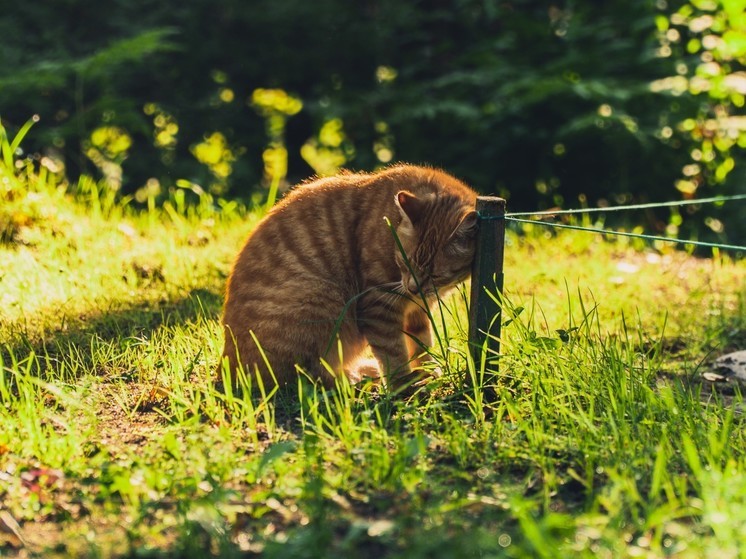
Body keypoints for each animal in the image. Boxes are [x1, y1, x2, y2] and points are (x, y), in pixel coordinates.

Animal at [219, 164, 476, 394]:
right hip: (322, 298)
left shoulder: (418, 308)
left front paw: (426, 370)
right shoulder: (379, 305)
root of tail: (228, 368)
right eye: (404, 263)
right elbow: (393, 351)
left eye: (435, 275)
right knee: (306, 378)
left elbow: (421, 341)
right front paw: (404, 384)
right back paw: (352, 380)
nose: (412, 288)